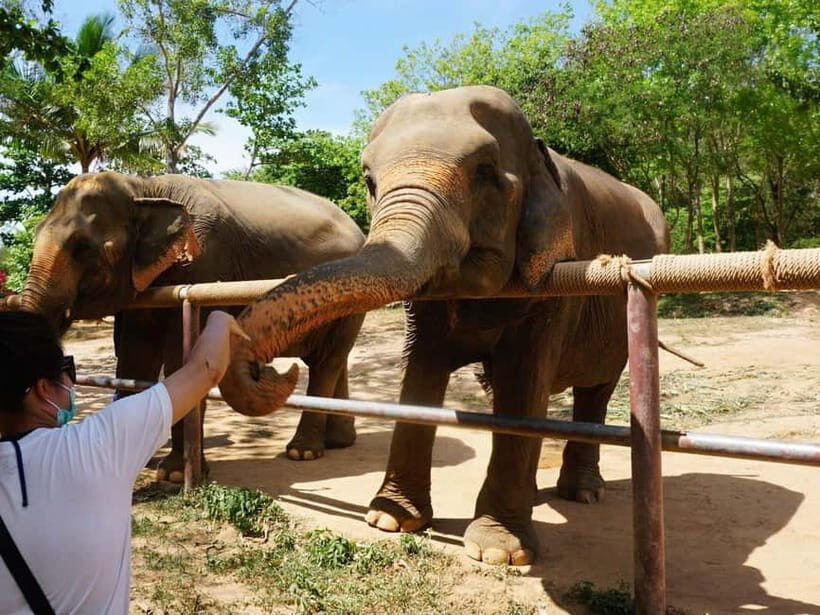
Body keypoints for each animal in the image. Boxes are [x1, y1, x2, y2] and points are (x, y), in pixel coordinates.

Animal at [17, 171, 366, 480]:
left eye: (82, 248)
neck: (142, 187)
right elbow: (134, 358)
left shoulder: (205, 261)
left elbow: (180, 358)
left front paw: (172, 474)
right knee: (332, 360)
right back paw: (338, 442)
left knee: (327, 361)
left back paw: (302, 451)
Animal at [218, 85, 669, 565]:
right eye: (369, 181)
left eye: (485, 171)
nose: (272, 369)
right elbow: (422, 372)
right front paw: (390, 519)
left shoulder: (556, 278)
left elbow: (525, 381)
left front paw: (498, 553)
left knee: (595, 389)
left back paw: (582, 493)